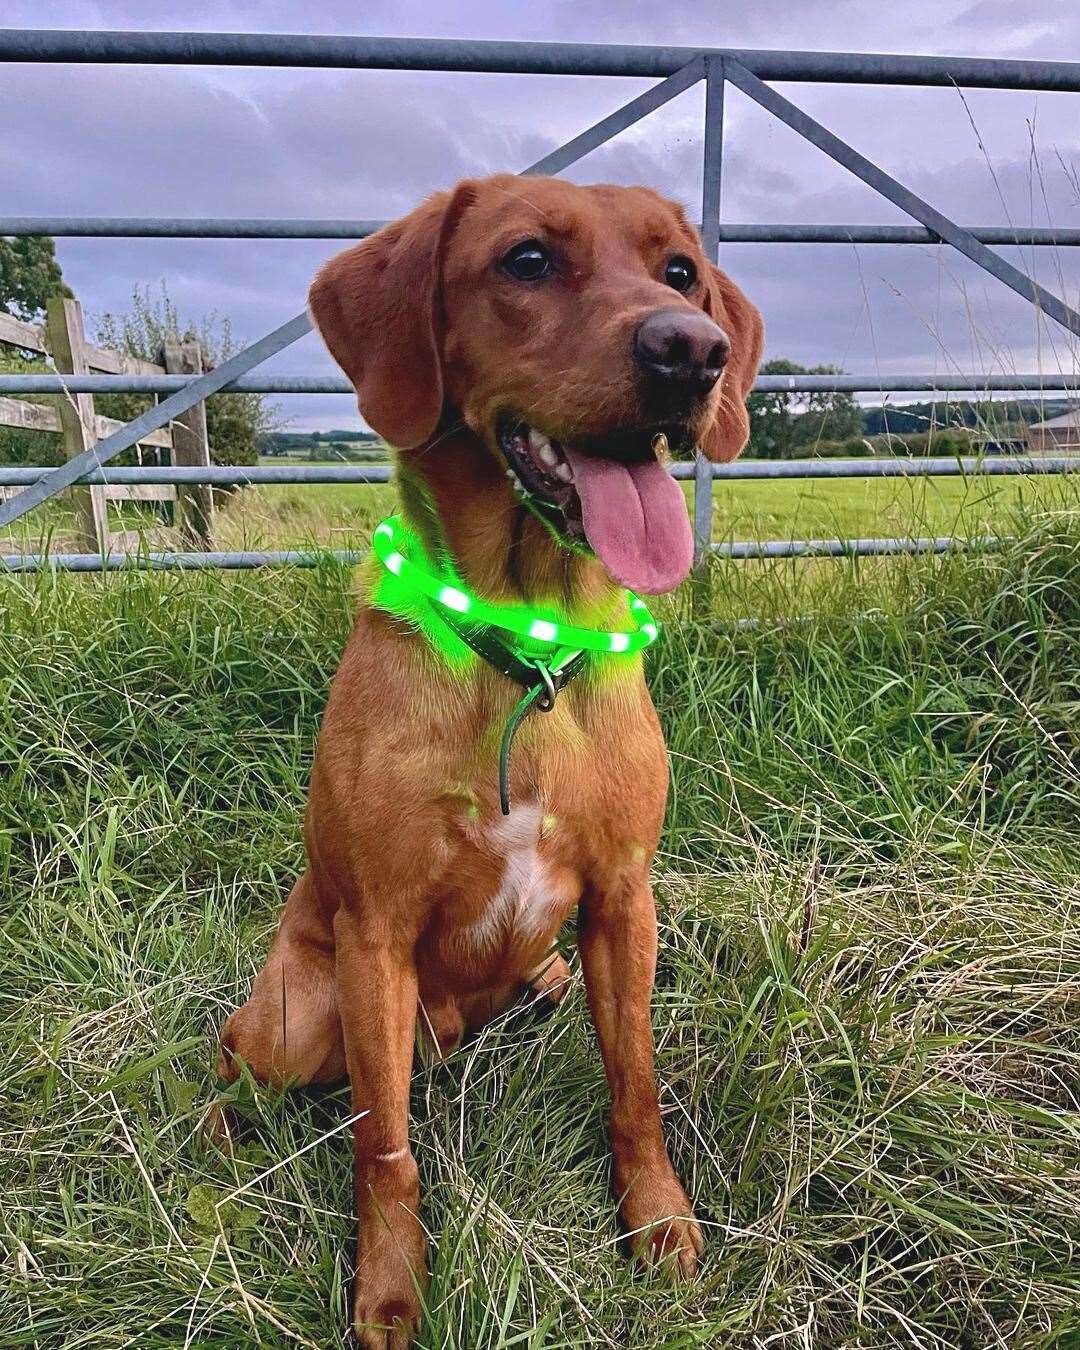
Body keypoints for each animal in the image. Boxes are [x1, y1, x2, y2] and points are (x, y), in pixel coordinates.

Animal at [214, 174, 761, 1344]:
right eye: (527, 261)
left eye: (680, 271)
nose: (693, 352)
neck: (526, 645)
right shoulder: (376, 935)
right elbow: (385, 1149)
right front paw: (390, 1290)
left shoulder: (623, 901)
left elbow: (635, 1086)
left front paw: (658, 1220)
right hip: (300, 1013)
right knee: (242, 1055)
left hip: (547, 969)